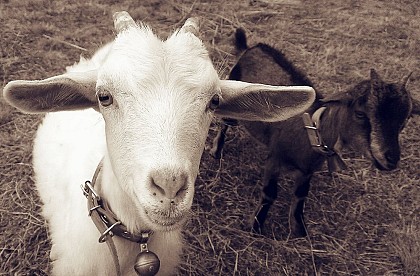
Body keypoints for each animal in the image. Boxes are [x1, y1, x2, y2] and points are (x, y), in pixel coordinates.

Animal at [212, 29, 418, 238]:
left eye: (405, 119)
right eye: (360, 113)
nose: (391, 159)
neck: (312, 130)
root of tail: (250, 48)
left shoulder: (307, 170)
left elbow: (301, 194)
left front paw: (299, 229)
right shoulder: (275, 159)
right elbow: (269, 193)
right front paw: (256, 227)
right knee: (224, 124)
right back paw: (216, 151)